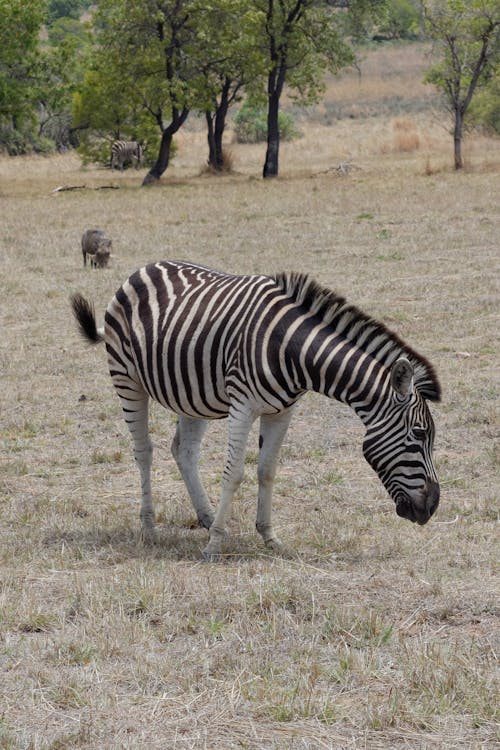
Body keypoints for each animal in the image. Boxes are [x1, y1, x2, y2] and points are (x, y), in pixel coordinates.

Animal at [71, 262, 442, 560]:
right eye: (419, 435)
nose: (432, 507)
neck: (293, 350)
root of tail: (141, 269)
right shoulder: (242, 406)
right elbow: (234, 474)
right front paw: (214, 546)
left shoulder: (281, 411)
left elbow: (267, 471)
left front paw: (269, 537)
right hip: (127, 379)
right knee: (144, 451)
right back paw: (150, 528)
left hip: (192, 395)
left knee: (184, 451)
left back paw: (207, 517)